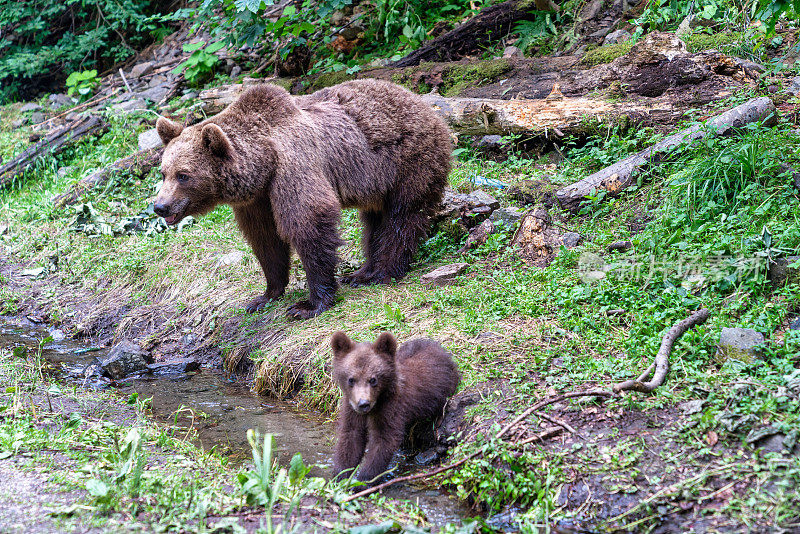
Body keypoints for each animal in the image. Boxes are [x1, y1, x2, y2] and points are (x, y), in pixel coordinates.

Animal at [153, 80, 454, 318]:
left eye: (183, 175)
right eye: (164, 172)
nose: (160, 207)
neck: (264, 162)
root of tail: (426, 105)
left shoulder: (294, 165)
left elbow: (308, 222)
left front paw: (309, 304)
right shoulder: (257, 199)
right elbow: (265, 239)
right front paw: (265, 295)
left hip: (408, 161)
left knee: (402, 217)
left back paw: (383, 272)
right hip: (377, 182)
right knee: (374, 222)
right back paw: (361, 273)